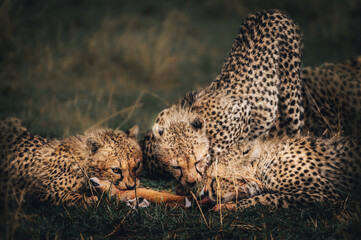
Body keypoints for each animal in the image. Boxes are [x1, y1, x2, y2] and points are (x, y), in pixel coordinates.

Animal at [0, 117, 141, 205]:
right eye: (116, 170)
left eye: (137, 166)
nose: (131, 186)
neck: (83, 162)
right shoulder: (33, 191)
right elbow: (65, 195)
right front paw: (88, 200)